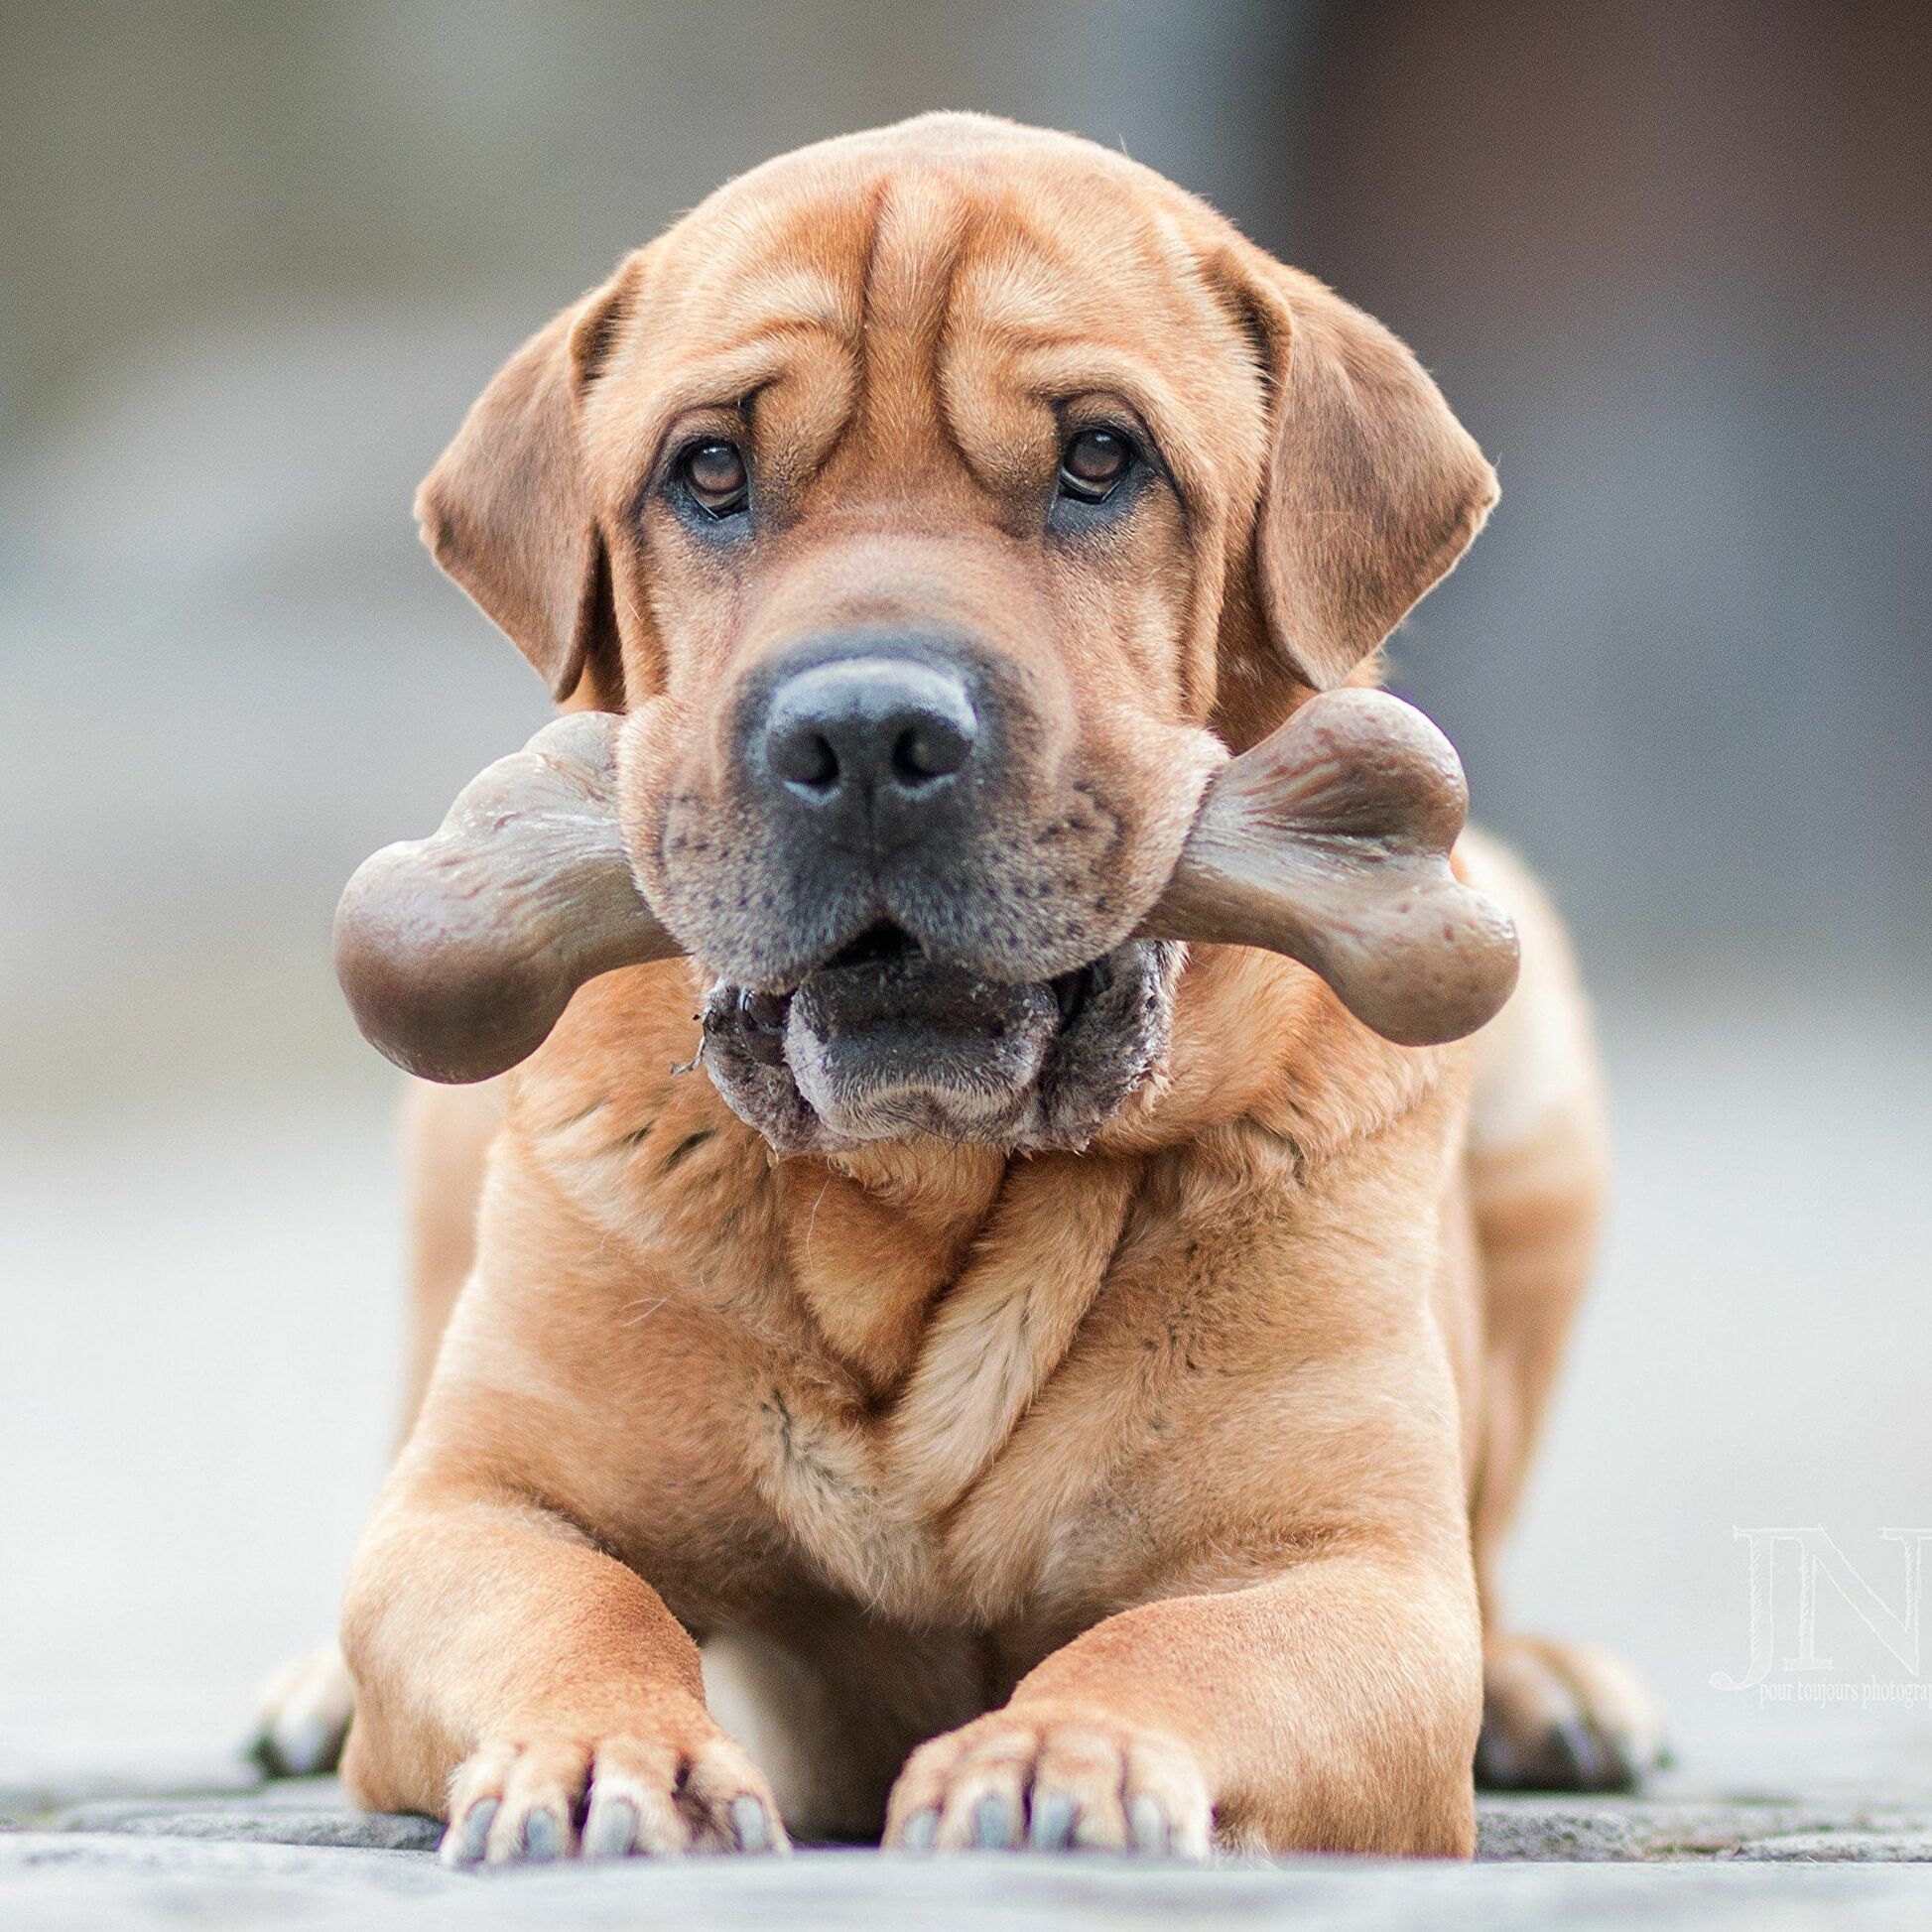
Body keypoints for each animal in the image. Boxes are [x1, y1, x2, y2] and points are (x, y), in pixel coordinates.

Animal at [272, 112, 1661, 1862]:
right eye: (707, 472)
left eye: (1101, 459)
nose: (865, 732)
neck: (923, 1203)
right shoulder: (483, 1504)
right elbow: (571, 1602)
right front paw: (600, 1752)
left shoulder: (1348, 1572)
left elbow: (1174, 1640)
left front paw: (1060, 1750)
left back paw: (1544, 1680)